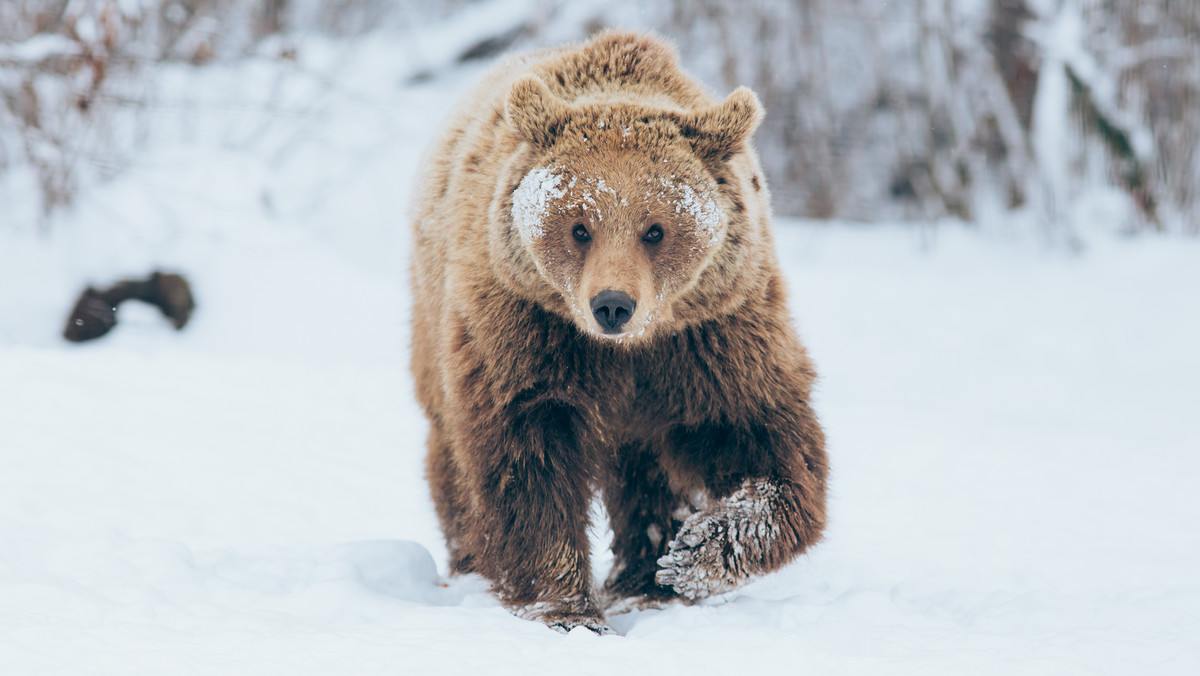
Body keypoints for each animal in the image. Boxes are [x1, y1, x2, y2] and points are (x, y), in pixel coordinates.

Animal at [410, 30, 825, 633]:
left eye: (655, 229)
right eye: (579, 226)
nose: (612, 305)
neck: (627, 352)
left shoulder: (713, 334)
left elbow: (764, 439)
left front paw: (693, 554)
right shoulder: (527, 330)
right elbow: (527, 458)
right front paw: (566, 608)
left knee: (645, 475)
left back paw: (645, 581)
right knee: (452, 457)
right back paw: (469, 559)